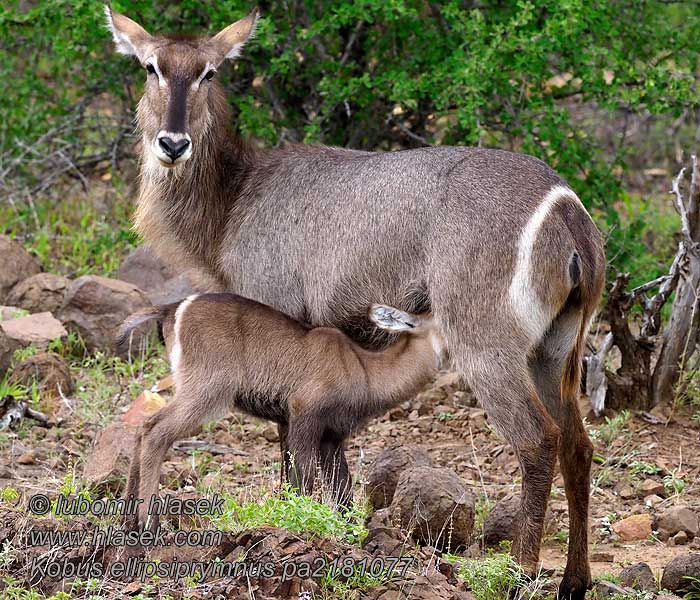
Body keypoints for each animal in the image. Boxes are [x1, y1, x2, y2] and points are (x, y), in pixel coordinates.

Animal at [115, 296, 442, 528]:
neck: (364, 370)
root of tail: (172, 309)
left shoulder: (332, 438)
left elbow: (342, 489)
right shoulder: (302, 415)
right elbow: (303, 478)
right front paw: (299, 519)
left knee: (143, 428)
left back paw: (128, 518)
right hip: (206, 391)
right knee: (156, 432)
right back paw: (148, 522)